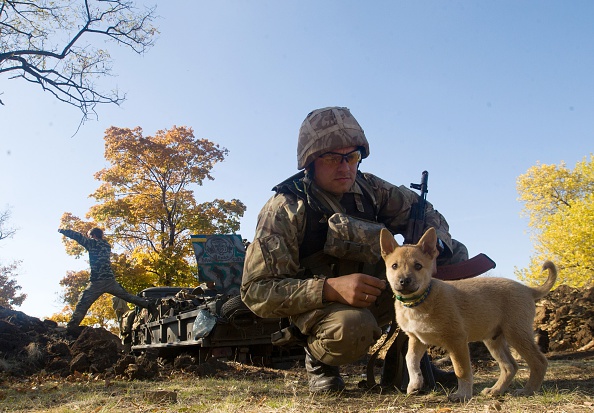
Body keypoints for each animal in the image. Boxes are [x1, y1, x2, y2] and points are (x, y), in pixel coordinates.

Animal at [380, 227, 556, 400]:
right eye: (394, 266)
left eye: (418, 266)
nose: (404, 281)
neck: (420, 301)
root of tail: (528, 289)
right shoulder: (417, 339)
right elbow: (410, 359)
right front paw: (415, 384)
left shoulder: (456, 340)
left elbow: (461, 370)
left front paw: (462, 394)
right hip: (494, 340)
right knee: (510, 366)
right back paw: (496, 390)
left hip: (516, 333)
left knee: (539, 362)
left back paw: (528, 390)